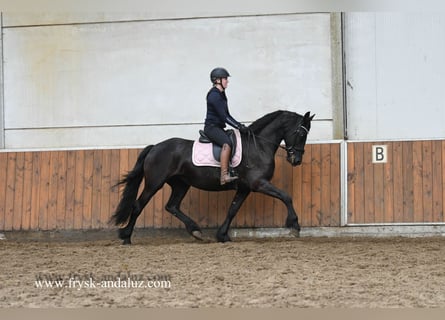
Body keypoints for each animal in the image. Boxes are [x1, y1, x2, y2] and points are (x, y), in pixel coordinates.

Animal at [109, 109, 314, 244]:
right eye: (301, 133)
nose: (296, 160)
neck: (259, 146)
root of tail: (155, 147)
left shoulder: (245, 188)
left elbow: (233, 209)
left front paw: (222, 235)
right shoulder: (258, 184)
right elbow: (286, 196)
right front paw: (294, 225)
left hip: (181, 184)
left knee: (172, 206)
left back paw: (196, 231)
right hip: (154, 183)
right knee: (138, 205)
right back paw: (126, 237)